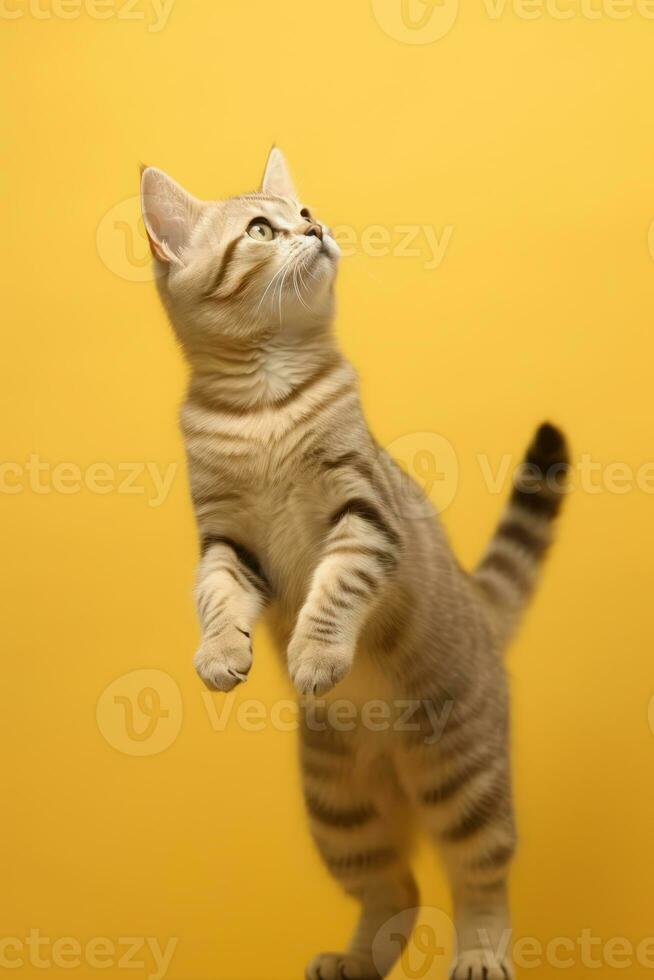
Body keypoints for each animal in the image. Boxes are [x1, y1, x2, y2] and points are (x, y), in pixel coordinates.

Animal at [142, 147, 568, 980]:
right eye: (263, 229)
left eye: (306, 214)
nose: (317, 229)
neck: (264, 406)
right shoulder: (229, 540)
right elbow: (214, 597)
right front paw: (219, 653)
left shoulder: (362, 518)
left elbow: (335, 592)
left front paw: (314, 654)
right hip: (338, 808)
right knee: (395, 888)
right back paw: (356, 960)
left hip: (461, 779)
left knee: (479, 879)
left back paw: (479, 953)